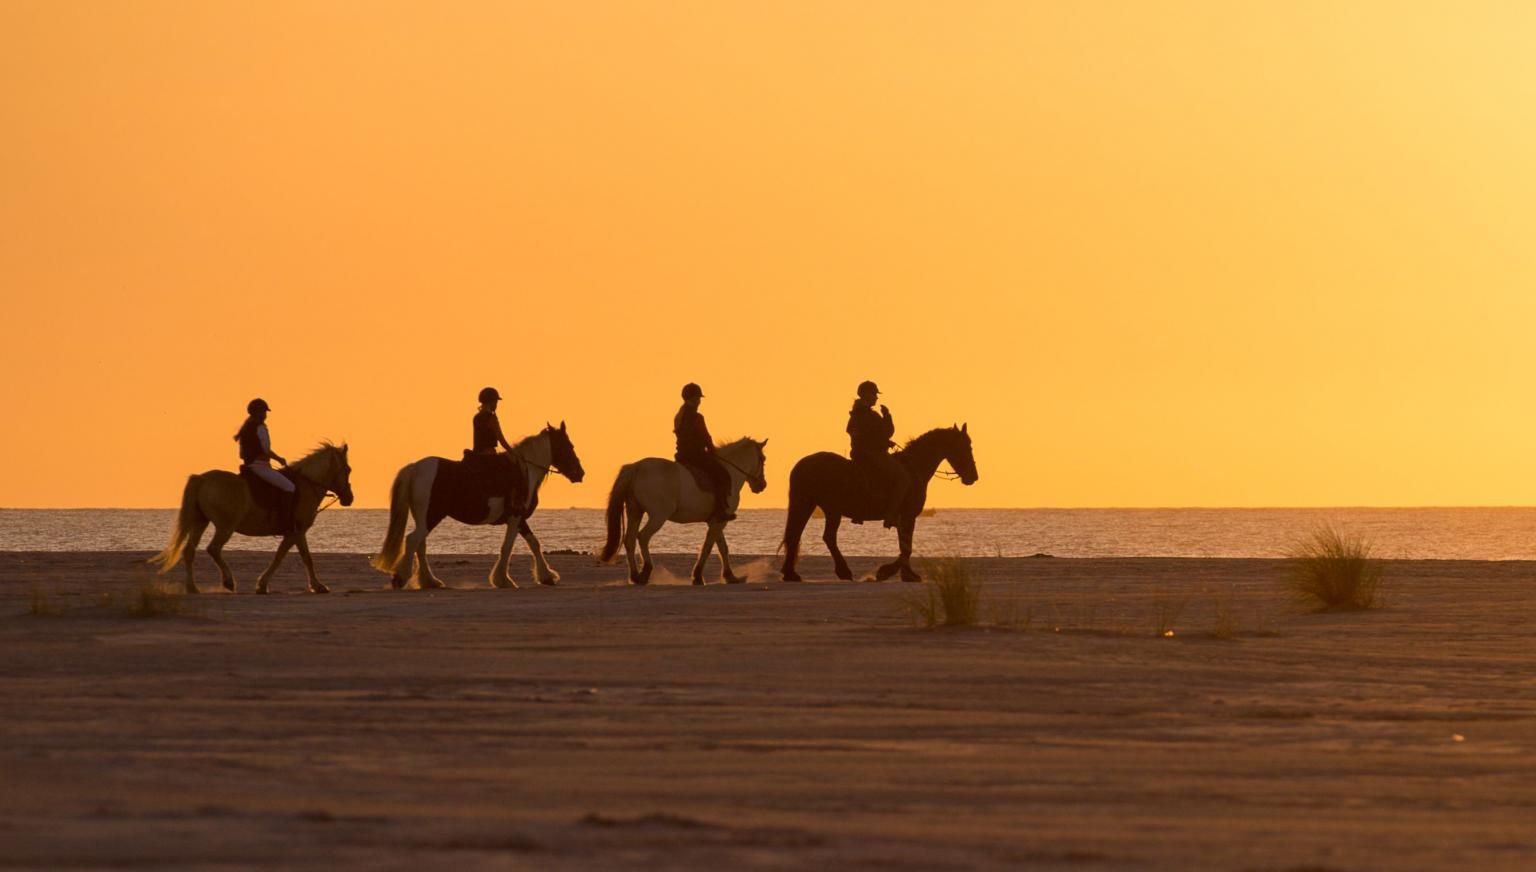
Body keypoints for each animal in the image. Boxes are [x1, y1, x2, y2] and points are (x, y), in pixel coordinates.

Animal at [148, 442, 353, 592]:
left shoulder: (295, 533)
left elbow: (295, 556)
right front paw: (316, 586)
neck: (306, 485)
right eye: (348, 469)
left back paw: (193, 588)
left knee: (190, 550)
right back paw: (228, 582)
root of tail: (203, 478)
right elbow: (290, 557)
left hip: (200, 521)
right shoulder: (297, 531)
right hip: (225, 526)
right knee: (213, 549)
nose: (349, 498)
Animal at [373, 423, 586, 589]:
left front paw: (546, 576)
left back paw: (430, 581)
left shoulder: (519, 519)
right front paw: (503, 580)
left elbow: (534, 543)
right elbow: (508, 547)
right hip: (432, 515)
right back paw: (401, 578)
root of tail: (416, 467)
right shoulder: (515, 517)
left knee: (420, 544)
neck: (526, 470)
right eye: (569, 445)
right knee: (413, 540)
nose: (580, 473)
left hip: (425, 517)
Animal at [599, 436, 768, 586]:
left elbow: (722, 548)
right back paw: (645, 573)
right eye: (763, 458)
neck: (729, 473)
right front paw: (698, 577)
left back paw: (635, 577)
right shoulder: (719, 521)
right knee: (643, 537)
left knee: (630, 540)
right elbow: (708, 547)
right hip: (658, 516)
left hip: (635, 512)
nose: (762, 485)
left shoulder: (716, 520)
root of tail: (636, 467)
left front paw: (730, 577)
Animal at [780, 426, 983, 583]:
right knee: (823, 537)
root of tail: (802, 465)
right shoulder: (908, 516)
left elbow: (905, 546)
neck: (913, 469)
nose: (973, 476)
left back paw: (791, 573)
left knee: (798, 535)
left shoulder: (904, 518)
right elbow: (906, 548)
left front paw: (908, 575)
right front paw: (887, 572)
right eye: (965, 447)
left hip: (813, 506)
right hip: (824, 508)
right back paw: (841, 571)